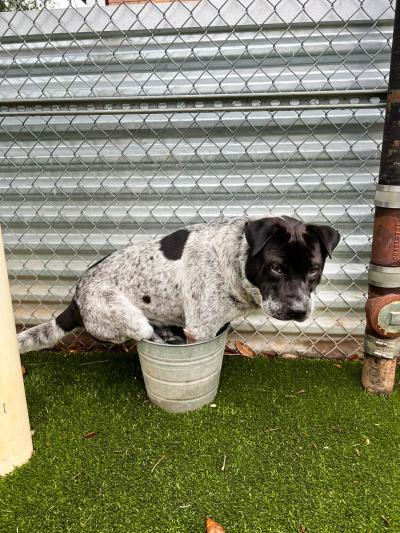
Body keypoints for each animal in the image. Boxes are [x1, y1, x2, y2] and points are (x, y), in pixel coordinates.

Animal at [16, 214, 340, 352]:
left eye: (314, 270)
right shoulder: (200, 330)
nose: (299, 311)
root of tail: (75, 300)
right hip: (127, 317)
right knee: (143, 334)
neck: (232, 260)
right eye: (275, 268)